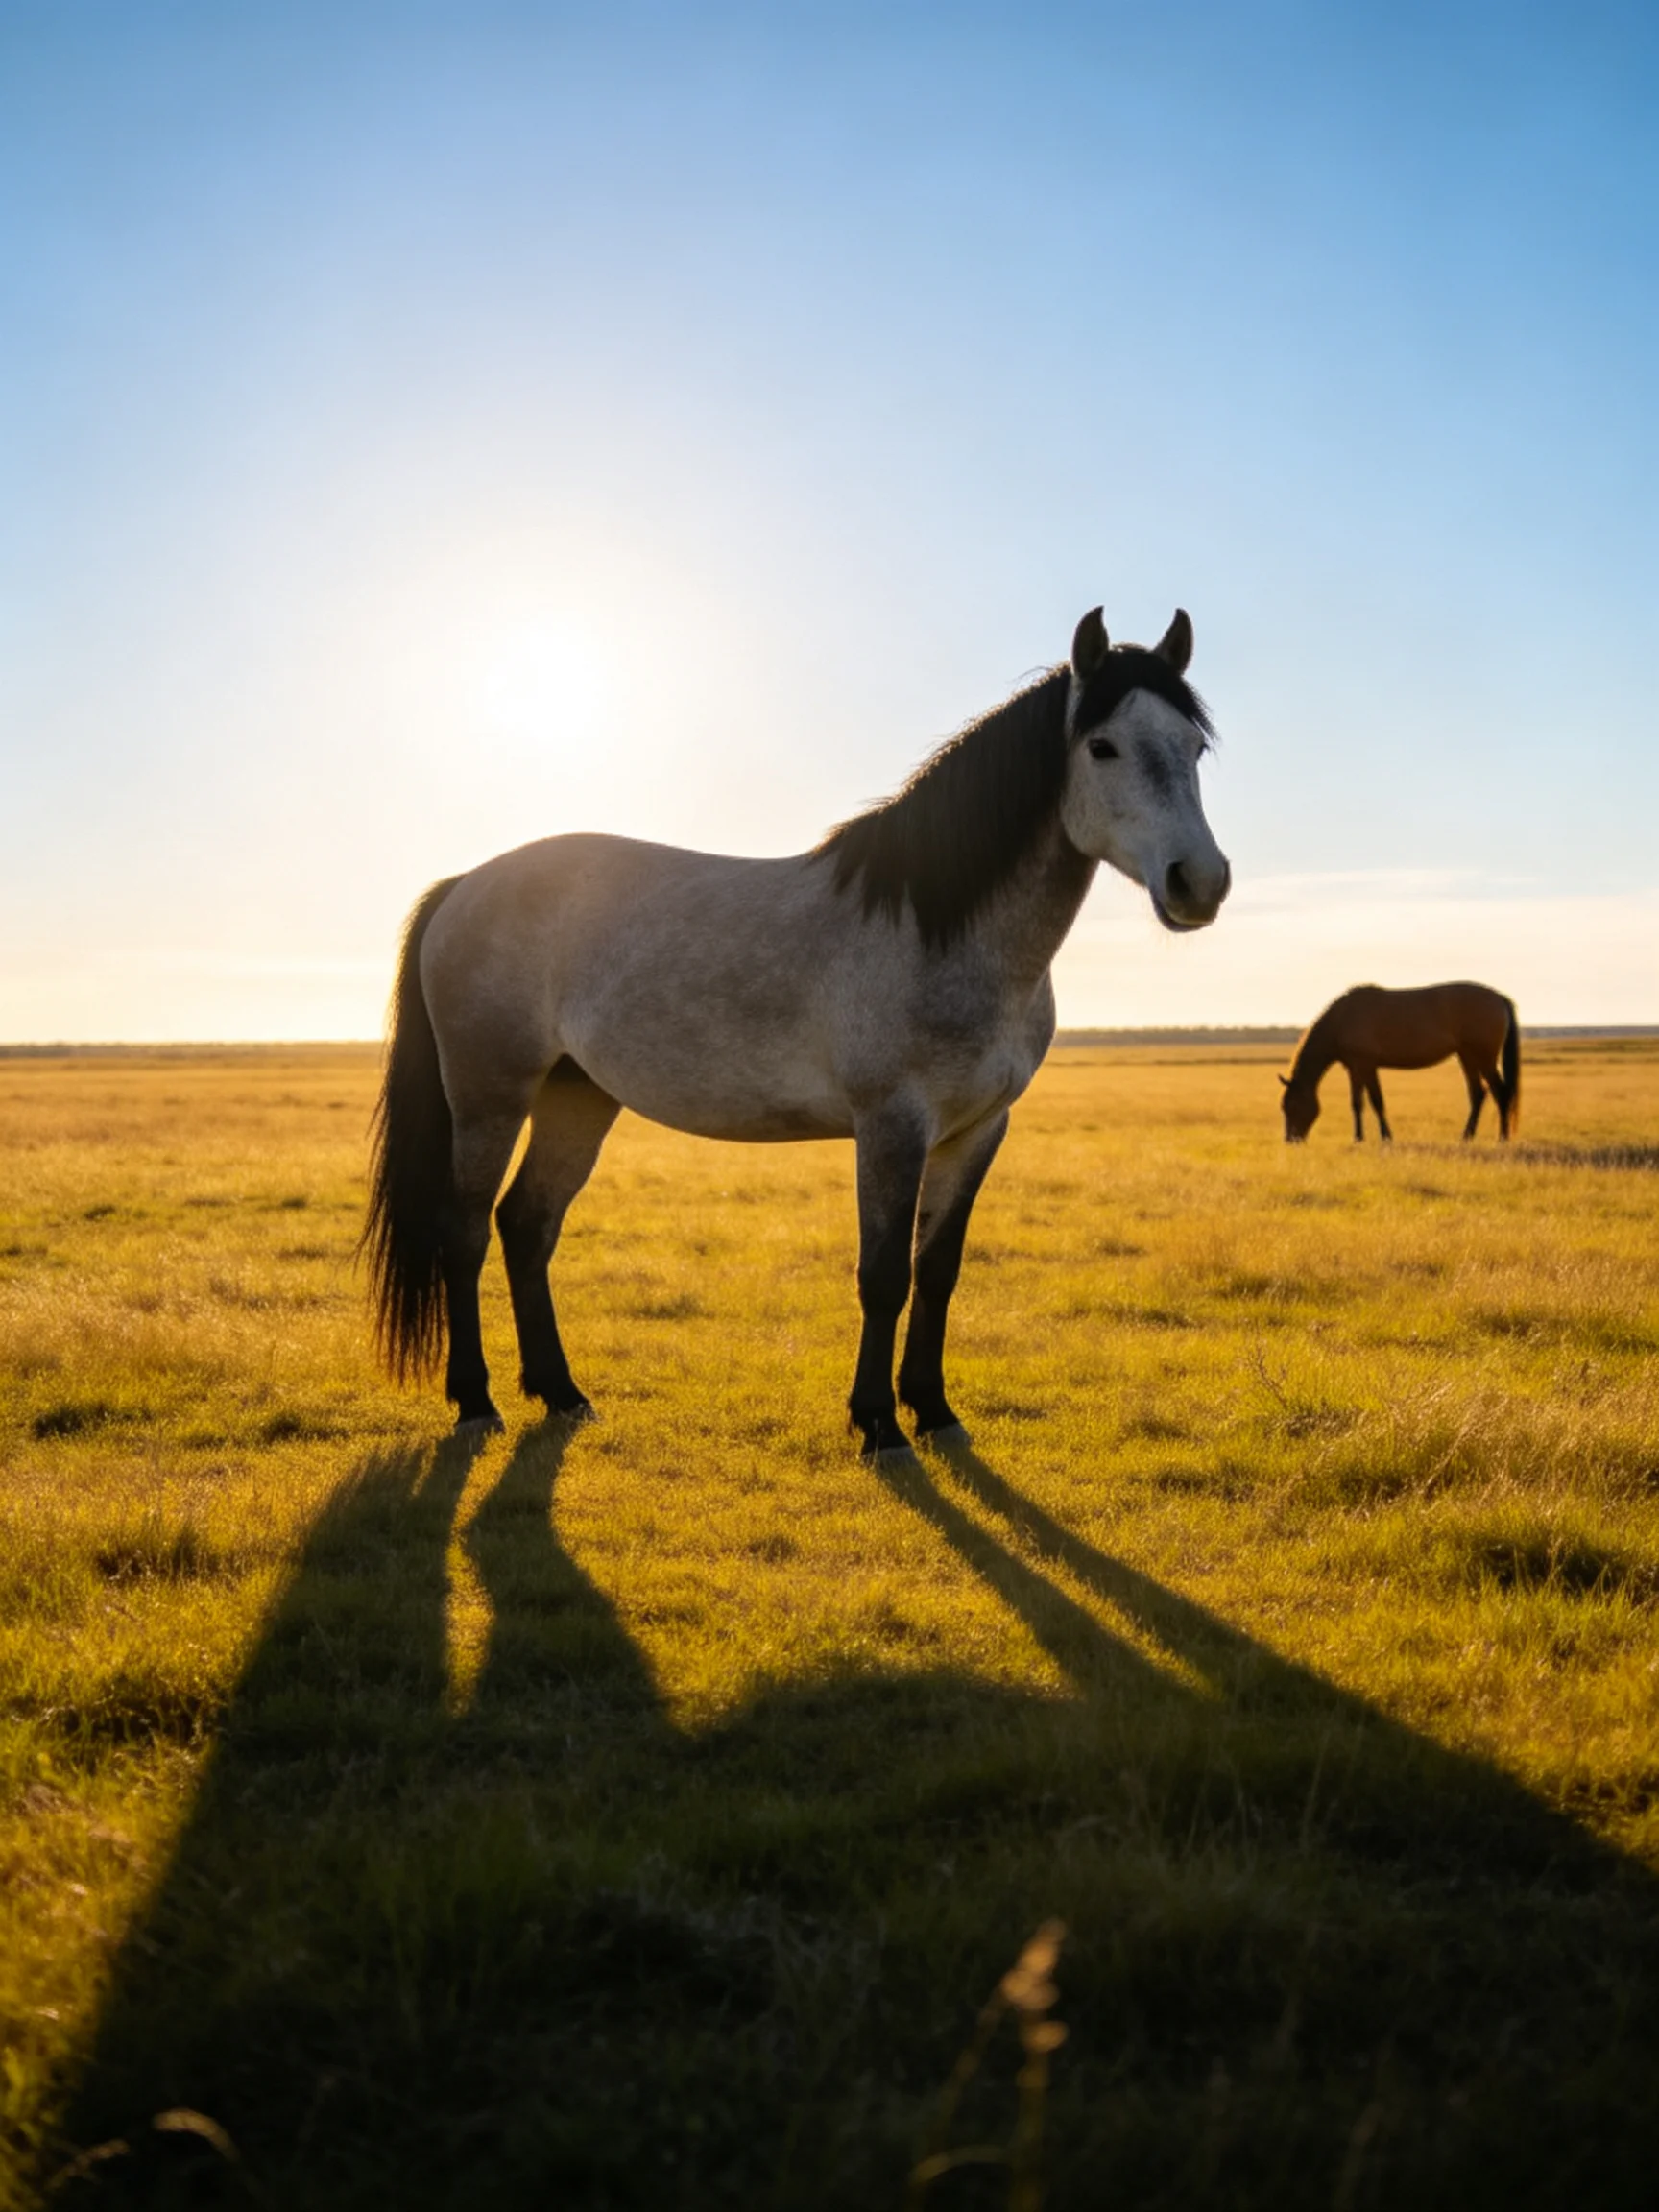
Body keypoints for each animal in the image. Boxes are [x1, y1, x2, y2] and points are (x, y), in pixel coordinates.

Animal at [365, 605, 1231, 1457]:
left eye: (1194, 747)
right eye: (1102, 746)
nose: (1201, 882)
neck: (937, 930)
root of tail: (465, 885)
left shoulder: (978, 1131)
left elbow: (937, 1271)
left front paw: (934, 1409)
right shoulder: (891, 1127)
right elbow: (884, 1275)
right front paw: (878, 1421)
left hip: (577, 1098)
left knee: (527, 1225)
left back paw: (563, 1394)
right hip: (491, 1098)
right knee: (465, 1231)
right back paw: (476, 1402)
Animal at [1279, 982, 1520, 1144]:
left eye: (1292, 1105)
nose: (1291, 1140)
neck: (1342, 1019)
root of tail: (1499, 998)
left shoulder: (1367, 1065)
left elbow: (1377, 1101)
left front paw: (1386, 1137)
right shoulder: (1354, 1068)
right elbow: (1357, 1103)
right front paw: (1358, 1138)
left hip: (1483, 1058)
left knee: (1500, 1092)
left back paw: (1502, 1138)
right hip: (1467, 1056)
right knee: (1478, 1093)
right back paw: (1467, 1137)